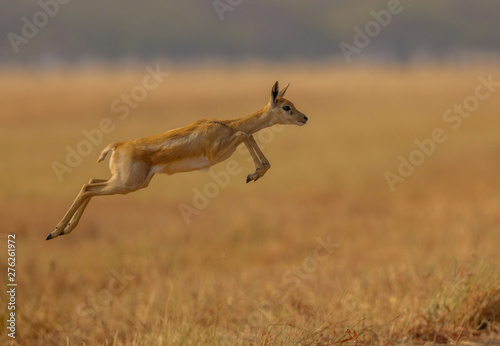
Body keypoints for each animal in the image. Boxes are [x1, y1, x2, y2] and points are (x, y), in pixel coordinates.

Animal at [47, 80, 306, 241]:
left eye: (292, 104)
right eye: (286, 107)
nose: (304, 117)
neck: (225, 125)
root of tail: (118, 145)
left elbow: (248, 134)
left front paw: (255, 173)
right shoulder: (215, 153)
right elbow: (245, 133)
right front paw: (254, 174)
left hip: (129, 183)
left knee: (90, 182)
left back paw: (63, 231)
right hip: (124, 184)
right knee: (87, 188)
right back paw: (55, 231)